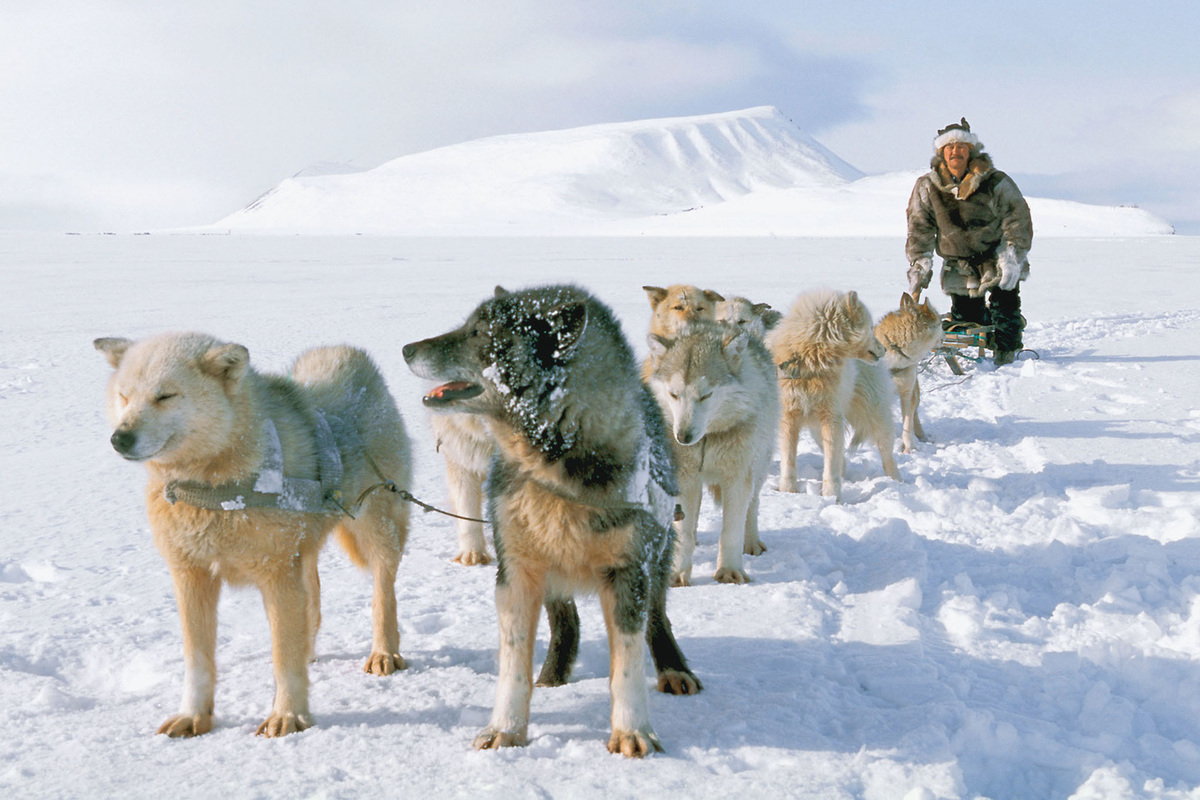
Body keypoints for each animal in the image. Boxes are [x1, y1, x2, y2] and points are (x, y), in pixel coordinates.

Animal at [94, 333, 412, 738]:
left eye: (165, 396)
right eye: (124, 396)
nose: (119, 438)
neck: (216, 489)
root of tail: (347, 355)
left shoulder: (277, 578)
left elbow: (283, 661)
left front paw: (288, 716)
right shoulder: (191, 577)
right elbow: (197, 661)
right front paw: (194, 716)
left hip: (377, 529)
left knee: (383, 594)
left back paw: (384, 652)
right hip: (304, 550)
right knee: (313, 598)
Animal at [405, 286, 700, 758]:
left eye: (478, 332)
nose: (406, 349)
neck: (554, 469)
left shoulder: (628, 572)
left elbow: (627, 665)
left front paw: (633, 732)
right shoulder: (517, 573)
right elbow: (512, 666)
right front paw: (506, 729)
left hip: (655, 558)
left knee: (657, 617)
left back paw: (673, 668)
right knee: (567, 621)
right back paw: (553, 675)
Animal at [648, 319, 777, 587]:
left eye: (706, 395)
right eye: (674, 395)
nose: (683, 437)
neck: (707, 439)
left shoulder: (737, 479)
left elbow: (730, 532)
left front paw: (729, 572)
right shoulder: (685, 479)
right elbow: (684, 532)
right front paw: (677, 574)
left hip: (758, 467)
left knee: (752, 508)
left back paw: (752, 542)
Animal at [768, 287, 902, 501]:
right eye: (869, 327)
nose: (884, 349)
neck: (811, 363)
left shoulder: (831, 418)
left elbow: (830, 465)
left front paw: (831, 496)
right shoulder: (789, 418)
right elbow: (788, 460)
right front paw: (788, 491)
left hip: (874, 415)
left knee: (885, 452)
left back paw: (896, 482)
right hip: (818, 428)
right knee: (842, 458)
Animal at [873, 292, 945, 455]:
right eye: (940, 324)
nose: (945, 337)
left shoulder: (907, 393)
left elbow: (907, 425)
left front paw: (909, 448)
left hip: (915, 394)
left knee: (915, 417)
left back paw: (921, 436)